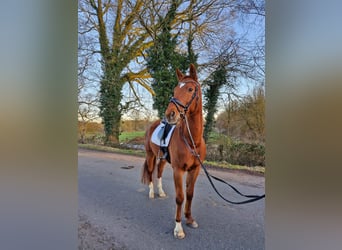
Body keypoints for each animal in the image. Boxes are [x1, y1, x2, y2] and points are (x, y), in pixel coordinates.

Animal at [141, 63, 206, 239]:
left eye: (190, 89)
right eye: (175, 89)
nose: (170, 114)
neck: (192, 140)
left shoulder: (195, 169)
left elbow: (189, 194)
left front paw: (189, 219)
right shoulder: (178, 170)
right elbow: (180, 197)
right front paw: (178, 228)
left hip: (162, 159)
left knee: (158, 173)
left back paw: (161, 192)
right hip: (150, 155)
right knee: (150, 172)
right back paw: (151, 193)